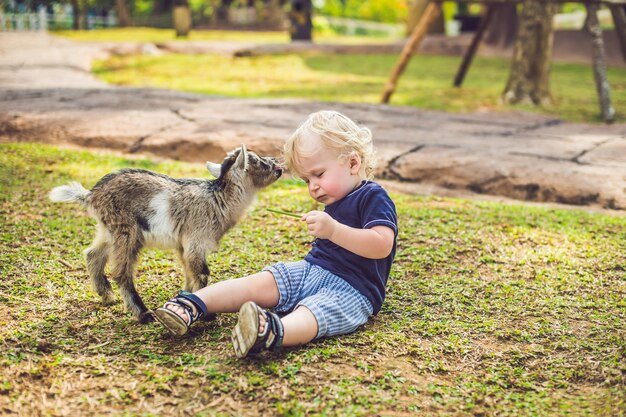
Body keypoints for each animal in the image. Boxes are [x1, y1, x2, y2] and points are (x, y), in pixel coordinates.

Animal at [50, 145, 282, 322]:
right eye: (259, 162)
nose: (278, 166)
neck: (218, 198)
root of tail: (91, 195)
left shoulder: (182, 245)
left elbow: (189, 272)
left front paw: (186, 298)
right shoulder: (196, 240)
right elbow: (201, 272)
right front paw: (206, 313)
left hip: (108, 230)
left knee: (93, 254)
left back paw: (107, 296)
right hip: (127, 231)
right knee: (121, 272)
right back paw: (143, 314)